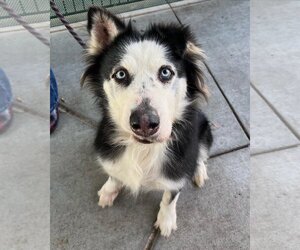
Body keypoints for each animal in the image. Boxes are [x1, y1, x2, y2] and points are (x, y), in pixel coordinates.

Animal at [81, 6, 213, 236]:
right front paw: (109, 189)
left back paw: (198, 172)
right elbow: (114, 174)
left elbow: (170, 197)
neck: (141, 149)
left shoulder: (177, 172)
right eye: (120, 74)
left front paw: (166, 221)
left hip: (205, 129)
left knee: (200, 155)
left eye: (166, 72)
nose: (144, 124)